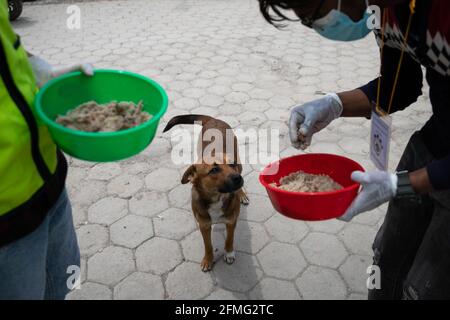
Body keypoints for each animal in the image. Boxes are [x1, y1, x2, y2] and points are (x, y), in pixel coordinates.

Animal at [163, 114, 248, 272]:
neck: (217, 198)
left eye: (231, 164)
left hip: (240, 164)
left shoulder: (231, 221)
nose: (238, 178)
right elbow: (208, 245)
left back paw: (242, 194)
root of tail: (213, 119)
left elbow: (229, 239)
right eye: (214, 170)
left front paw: (229, 253)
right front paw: (208, 260)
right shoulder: (203, 225)